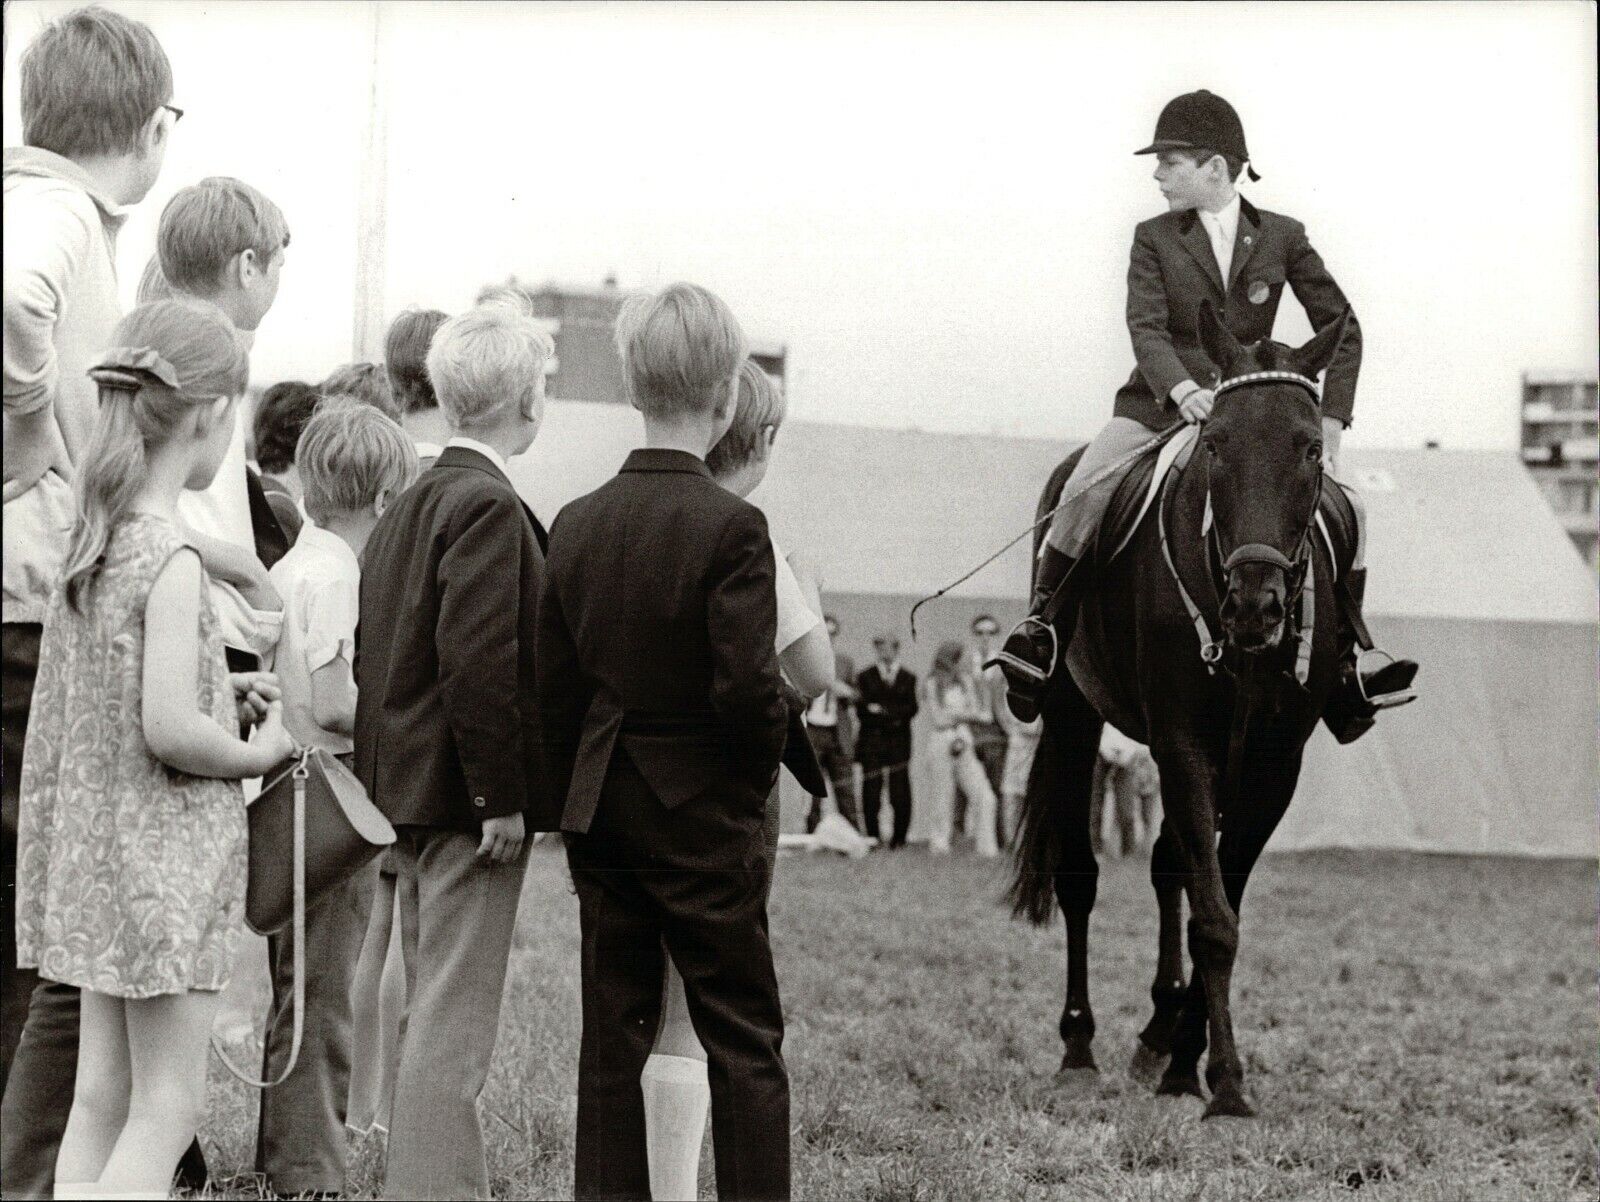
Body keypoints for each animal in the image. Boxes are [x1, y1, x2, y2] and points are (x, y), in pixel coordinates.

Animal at [1011, 300, 1350, 1120]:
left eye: (1311, 448)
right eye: (1218, 442)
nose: (1256, 606)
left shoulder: (1271, 764)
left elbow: (1217, 897)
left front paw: (1186, 1060)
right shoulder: (1183, 742)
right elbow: (1214, 917)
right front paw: (1223, 1082)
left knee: (1170, 866)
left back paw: (1159, 1034)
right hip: (1072, 713)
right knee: (1080, 876)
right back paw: (1080, 1048)